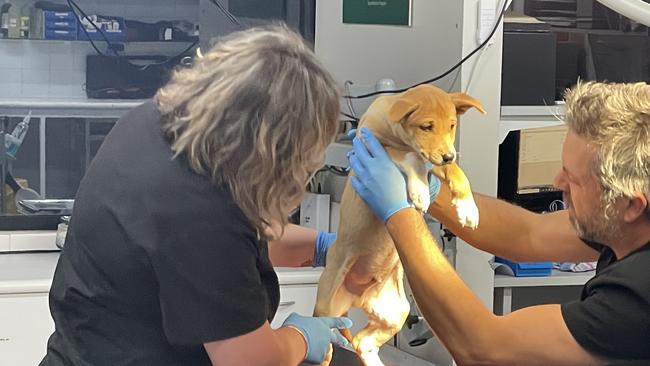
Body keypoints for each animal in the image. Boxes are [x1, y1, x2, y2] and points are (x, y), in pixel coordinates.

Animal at [314, 84, 480, 364]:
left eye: (452, 125)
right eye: (426, 126)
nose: (448, 155)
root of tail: (356, 298)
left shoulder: (435, 161)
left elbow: (456, 171)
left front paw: (467, 207)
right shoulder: (373, 147)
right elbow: (411, 157)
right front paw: (420, 191)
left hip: (396, 312)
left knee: (362, 342)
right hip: (326, 313)